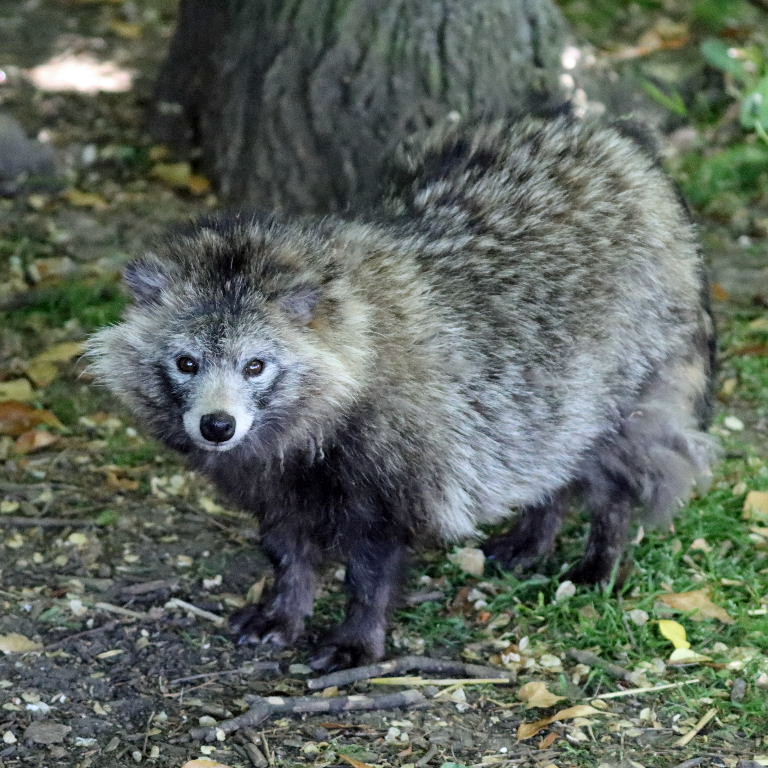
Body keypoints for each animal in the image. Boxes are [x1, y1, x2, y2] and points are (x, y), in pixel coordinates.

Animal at [87, 115, 717, 671]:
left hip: (633, 351)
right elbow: (288, 542)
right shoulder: (274, 477)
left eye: (256, 365)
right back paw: (539, 525)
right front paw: (286, 604)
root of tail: (615, 142)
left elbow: (374, 560)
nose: (217, 426)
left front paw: (359, 632)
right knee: (552, 441)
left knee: (616, 454)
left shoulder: (401, 450)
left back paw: (603, 546)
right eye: (186, 363)